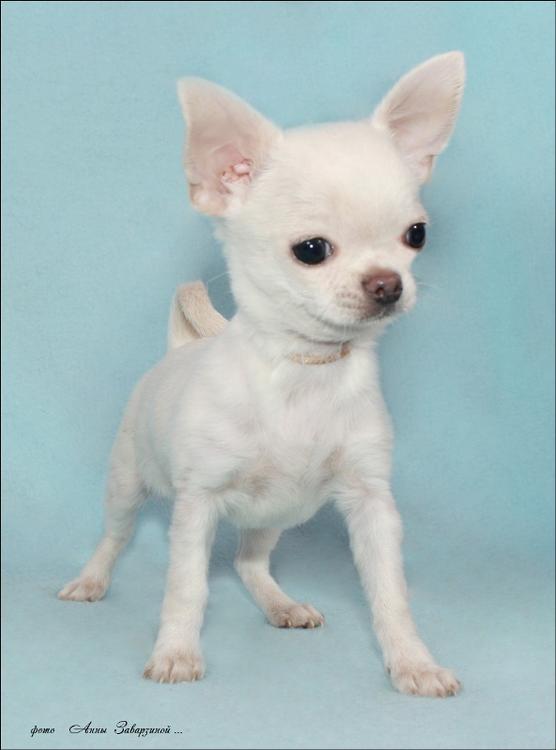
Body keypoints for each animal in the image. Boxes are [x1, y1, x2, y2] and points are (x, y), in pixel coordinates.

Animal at [59, 52, 465, 696]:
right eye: (311, 249)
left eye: (416, 235)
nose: (388, 284)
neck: (304, 370)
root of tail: (180, 348)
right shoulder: (197, 505)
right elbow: (187, 587)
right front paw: (176, 652)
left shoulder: (372, 503)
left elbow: (390, 593)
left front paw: (413, 662)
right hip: (127, 480)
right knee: (116, 535)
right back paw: (92, 579)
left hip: (277, 515)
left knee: (248, 561)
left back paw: (281, 603)